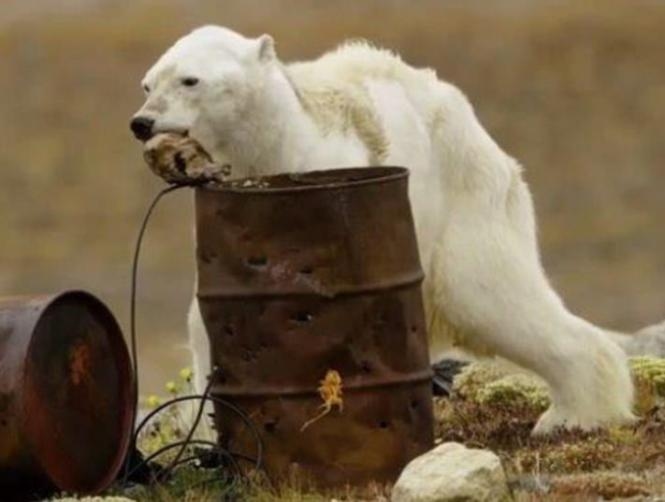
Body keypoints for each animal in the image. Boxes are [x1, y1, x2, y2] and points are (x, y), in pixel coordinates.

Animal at [131, 25, 660, 434]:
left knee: (491, 296)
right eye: (147, 83)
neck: (273, 147)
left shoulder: (331, 176)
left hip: (464, 201)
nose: (142, 122)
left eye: (190, 79)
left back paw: (573, 415)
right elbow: (208, 318)